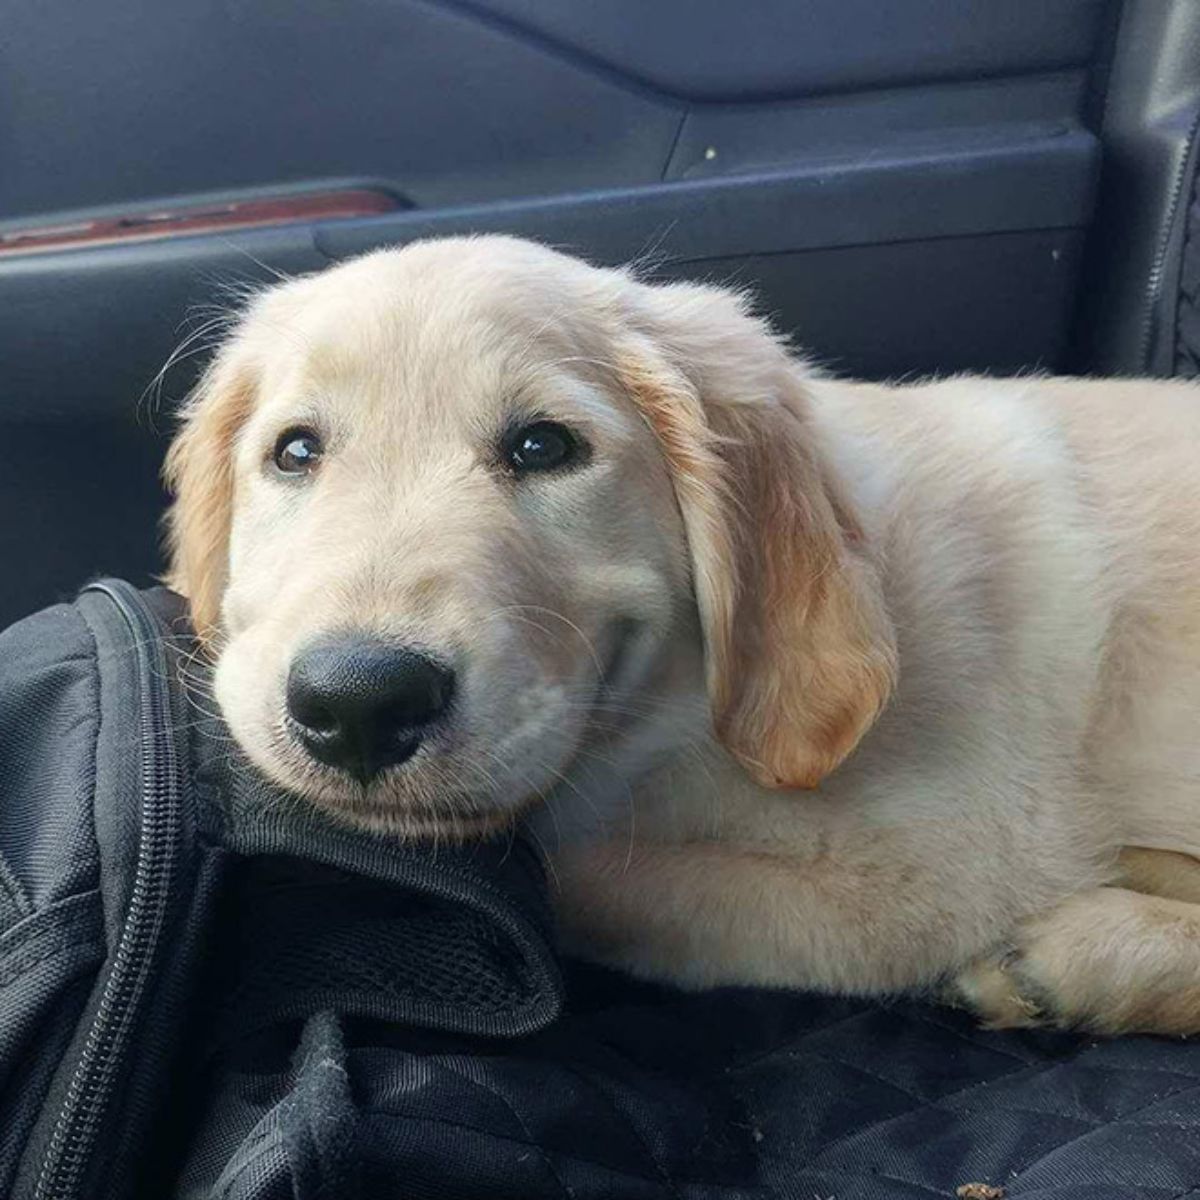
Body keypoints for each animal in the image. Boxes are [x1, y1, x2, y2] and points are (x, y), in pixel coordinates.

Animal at [164, 231, 1200, 1032]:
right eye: (296, 452)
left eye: (544, 446)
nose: (358, 703)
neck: (673, 718)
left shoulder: (927, 876)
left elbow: (570, 876)